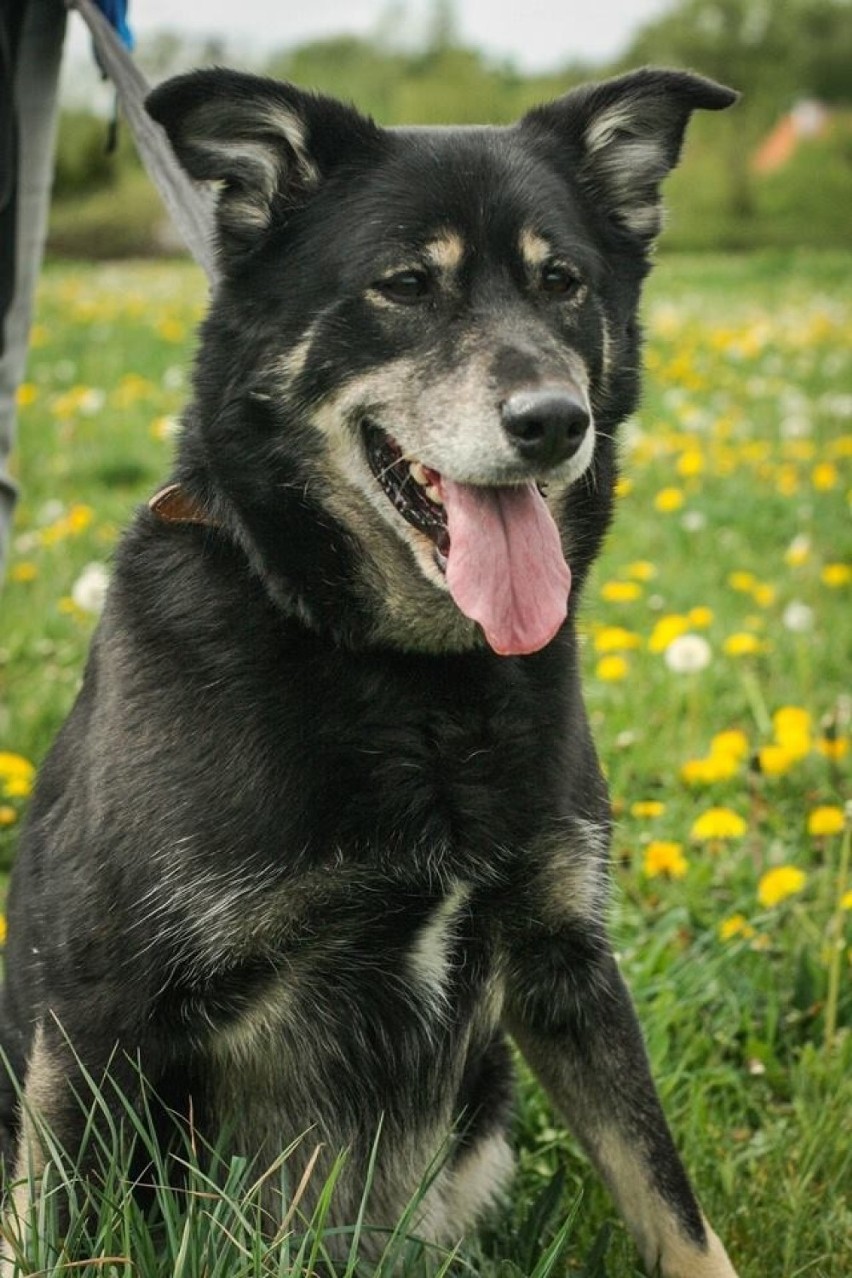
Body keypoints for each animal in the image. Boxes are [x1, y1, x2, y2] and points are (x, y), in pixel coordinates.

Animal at [0, 69, 735, 1278]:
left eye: (562, 282)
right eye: (403, 285)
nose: (555, 422)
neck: (411, 677)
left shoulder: (565, 959)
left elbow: (670, 1202)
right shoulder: (99, 1000)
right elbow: (58, 1231)